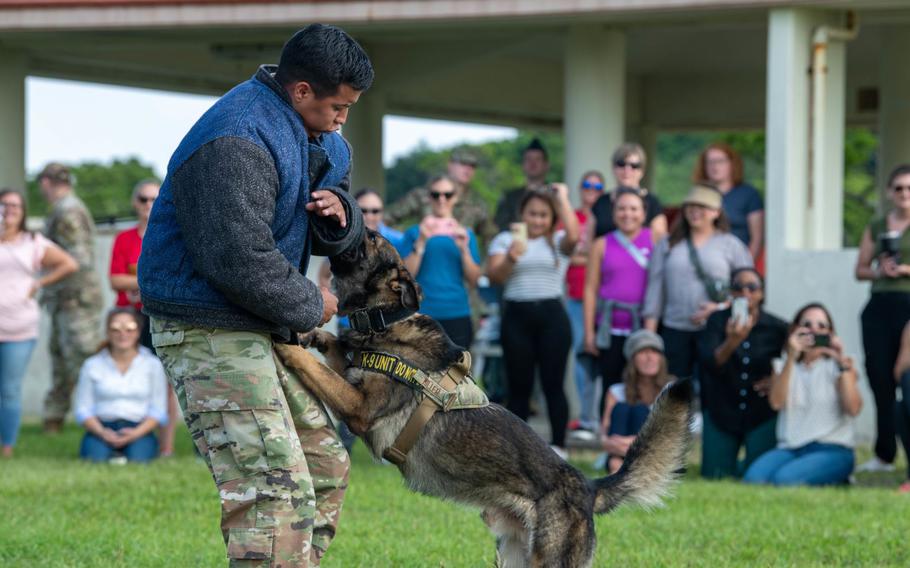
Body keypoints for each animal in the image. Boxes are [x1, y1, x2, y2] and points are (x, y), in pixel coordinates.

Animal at [274, 229, 696, 564]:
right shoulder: (352, 384)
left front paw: (286, 344)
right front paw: (314, 335)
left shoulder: (358, 407)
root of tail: (588, 488)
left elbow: (318, 368)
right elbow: (334, 355)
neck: (386, 321)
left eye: (372, 239)